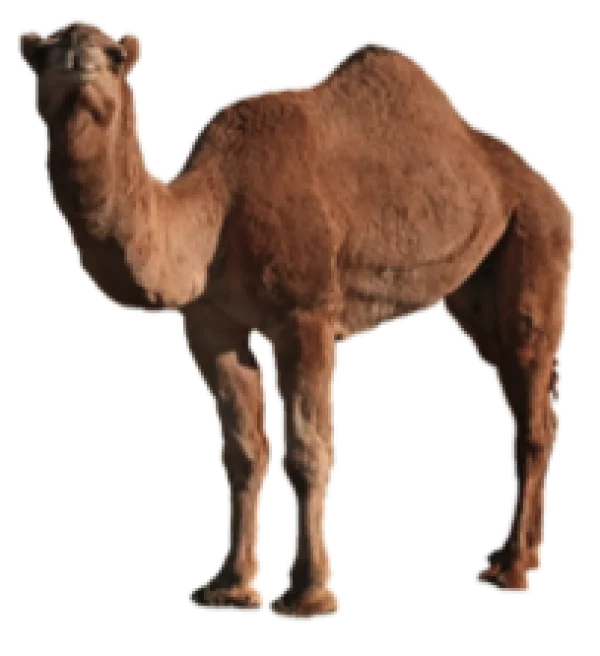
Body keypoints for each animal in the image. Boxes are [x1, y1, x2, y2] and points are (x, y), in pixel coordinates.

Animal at [19, 22, 571, 617]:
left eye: (115, 55)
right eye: (45, 54)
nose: (79, 63)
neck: (217, 208)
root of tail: (546, 189)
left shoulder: (305, 314)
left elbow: (309, 448)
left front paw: (310, 593)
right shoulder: (210, 323)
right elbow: (243, 450)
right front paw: (230, 585)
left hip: (535, 233)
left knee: (533, 393)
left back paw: (513, 569)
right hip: (475, 281)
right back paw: (512, 559)